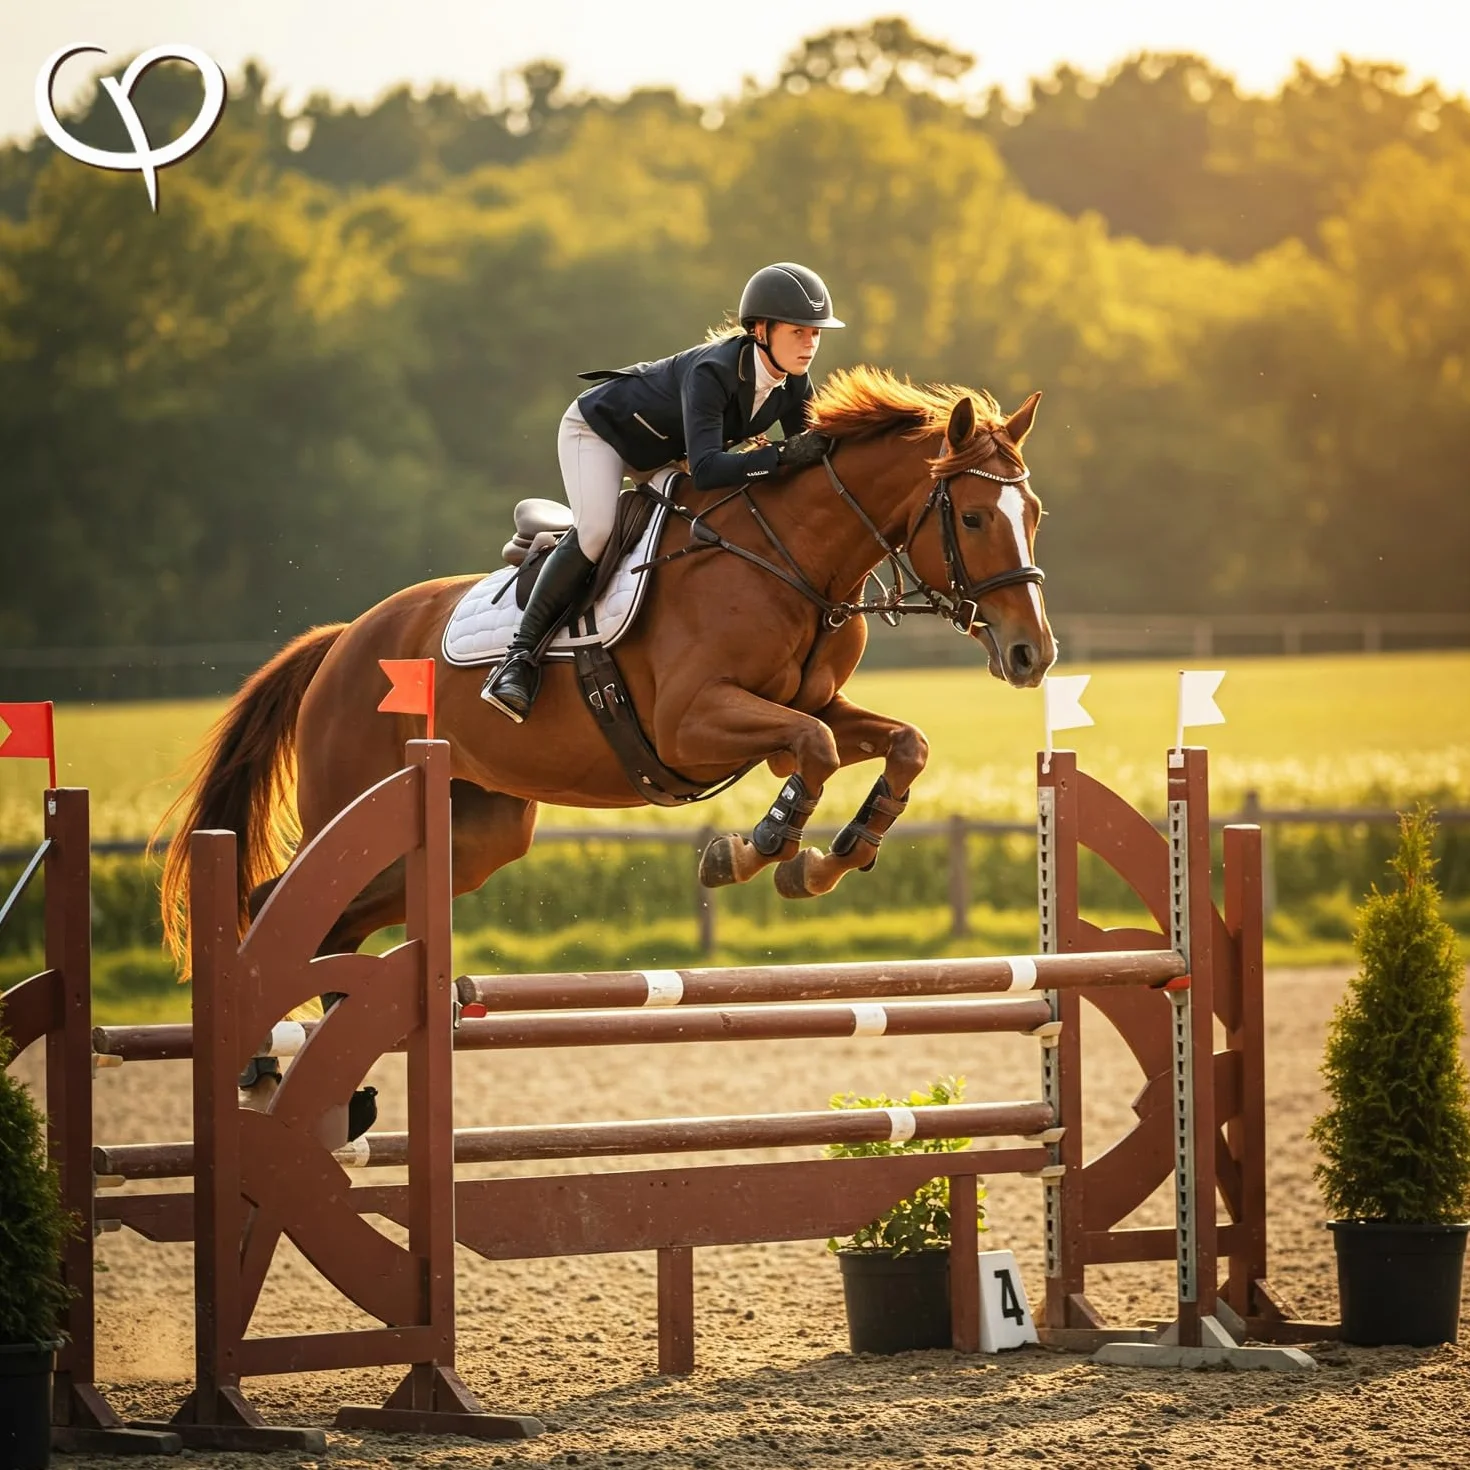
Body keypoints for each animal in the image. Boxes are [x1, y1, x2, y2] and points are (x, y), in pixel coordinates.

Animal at [158, 366, 1057, 973]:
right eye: (974, 517)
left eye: (1036, 513)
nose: (1032, 653)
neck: (789, 556)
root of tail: (344, 642)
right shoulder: (691, 723)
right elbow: (814, 750)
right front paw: (751, 850)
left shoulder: (811, 700)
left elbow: (900, 743)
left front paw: (826, 859)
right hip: (349, 806)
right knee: (280, 906)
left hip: (473, 835)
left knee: (338, 927)